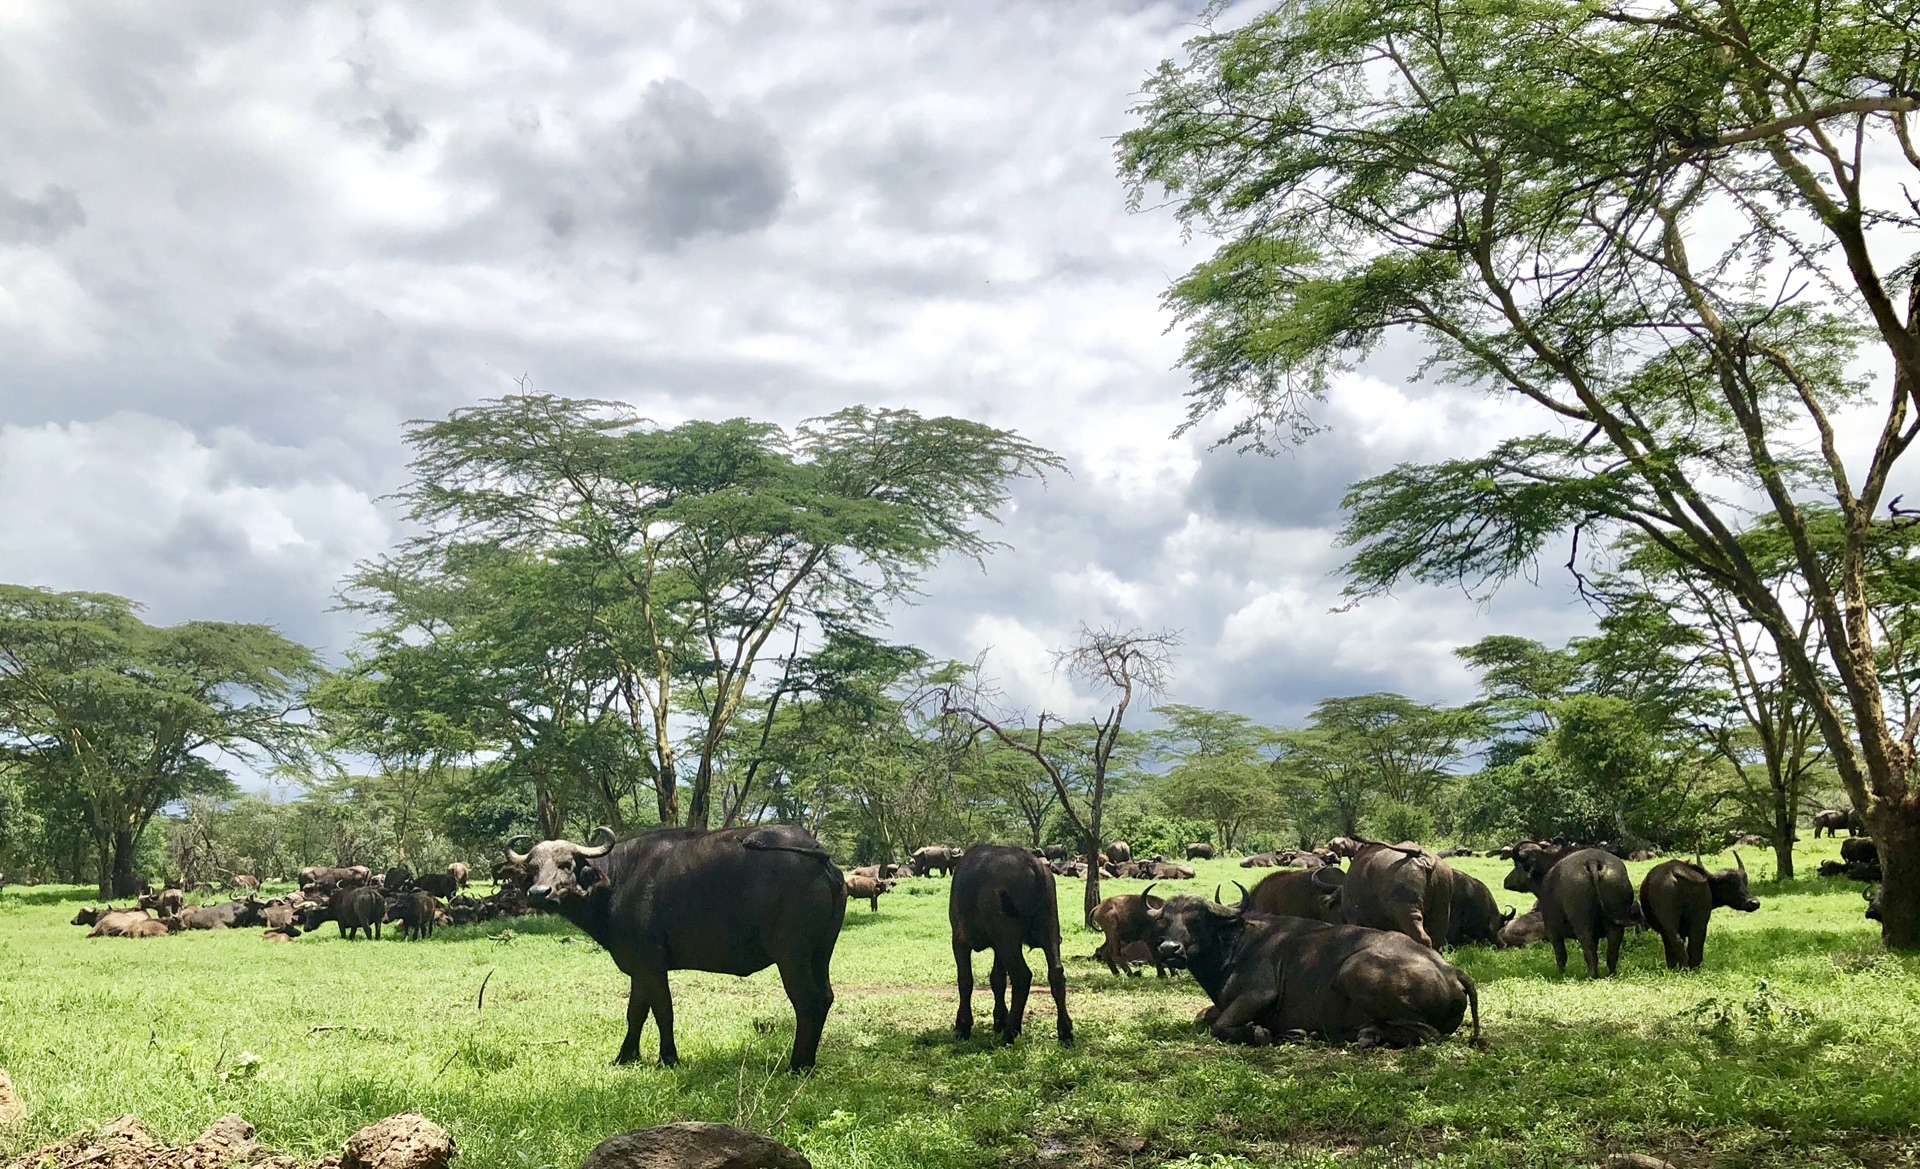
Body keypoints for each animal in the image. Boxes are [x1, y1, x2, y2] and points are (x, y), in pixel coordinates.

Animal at [514, 821, 844, 1067]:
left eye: (566, 864)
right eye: (533, 868)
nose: (539, 893)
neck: (618, 879)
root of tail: (819, 855)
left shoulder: (651, 965)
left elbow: (663, 1010)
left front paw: (668, 1058)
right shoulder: (639, 968)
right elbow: (635, 1012)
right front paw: (625, 1056)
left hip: (791, 955)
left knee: (807, 1000)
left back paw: (797, 1064)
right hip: (821, 953)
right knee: (825, 997)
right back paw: (809, 1061)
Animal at [948, 844, 1075, 1044]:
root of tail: (1032, 864)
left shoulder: (960, 942)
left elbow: (965, 980)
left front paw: (962, 1026)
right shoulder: (998, 948)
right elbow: (997, 979)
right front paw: (1000, 1019)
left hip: (1008, 939)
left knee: (1022, 976)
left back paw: (1011, 1032)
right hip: (1050, 931)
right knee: (1056, 974)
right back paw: (1065, 1032)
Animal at [1136, 890, 1482, 1044]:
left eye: (1196, 920)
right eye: (1165, 921)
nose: (1169, 949)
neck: (1234, 943)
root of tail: (1450, 971)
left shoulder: (1259, 994)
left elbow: (1220, 1025)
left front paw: (1257, 1031)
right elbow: (1204, 1016)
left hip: (1353, 969)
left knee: (1427, 1034)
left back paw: (1364, 1035)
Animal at [1512, 836, 1635, 975]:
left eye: (1516, 865)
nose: (1507, 881)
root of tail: (1593, 861)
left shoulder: (1551, 928)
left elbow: (1561, 954)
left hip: (1581, 921)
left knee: (1587, 946)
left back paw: (1592, 975)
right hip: (1616, 923)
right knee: (1612, 950)